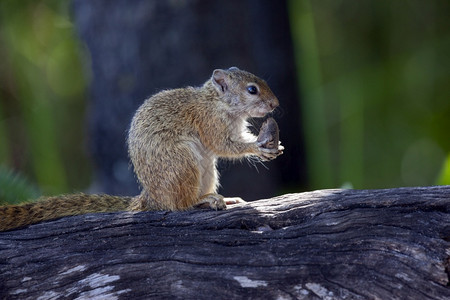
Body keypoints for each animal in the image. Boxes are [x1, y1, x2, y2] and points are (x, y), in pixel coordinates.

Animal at [0, 67, 282, 232]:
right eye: (252, 90)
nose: (275, 104)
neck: (218, 102)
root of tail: (151, 198)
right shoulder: (210, 122)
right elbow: (224, 145)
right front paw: (258, 147)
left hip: (205, 169)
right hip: (182, 162)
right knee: (179, 205)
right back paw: (203, 200)